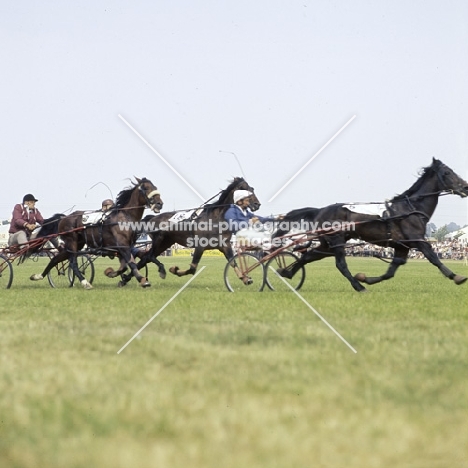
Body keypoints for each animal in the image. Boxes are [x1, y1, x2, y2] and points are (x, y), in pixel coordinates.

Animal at [30, 178, 163, 288]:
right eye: (145, 188)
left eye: (155, 186)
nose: (159, 203)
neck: (124, 217)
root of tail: (64, 218)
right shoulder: (122, 245)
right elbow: (131, 264)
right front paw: (142, 280)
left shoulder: (125, 247)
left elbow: (125, 266)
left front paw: (113, 274)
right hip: (71, 241)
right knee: (73, 263)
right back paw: (85, 282)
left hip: (77, 244)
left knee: (56, 259)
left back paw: (38, 276)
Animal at [119, 177, 260, 286]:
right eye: (243, 188)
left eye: (252, 189)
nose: (257, 204)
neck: (215, 218)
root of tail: (152, 217)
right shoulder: (200, 246)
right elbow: (192, 269)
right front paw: (174, 269)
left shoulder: (225, 245)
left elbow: (233, 261)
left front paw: (245, 278)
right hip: (158, 240)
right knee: (149, 256)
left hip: (165, 243)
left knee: (145, 259)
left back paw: (126, 279)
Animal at [274, 159, 468, 290]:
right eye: (447, 173)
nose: (465, 187)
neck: (410, 208)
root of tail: (320, 210)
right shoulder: (418, 240)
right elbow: (434, 258)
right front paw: (456, 276)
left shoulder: (402, 246)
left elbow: (391, 271)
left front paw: (365, 278)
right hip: (336, 240)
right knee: (340, 264)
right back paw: (358, 287)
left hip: (328, 243)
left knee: (309, 255)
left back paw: (287, 272)